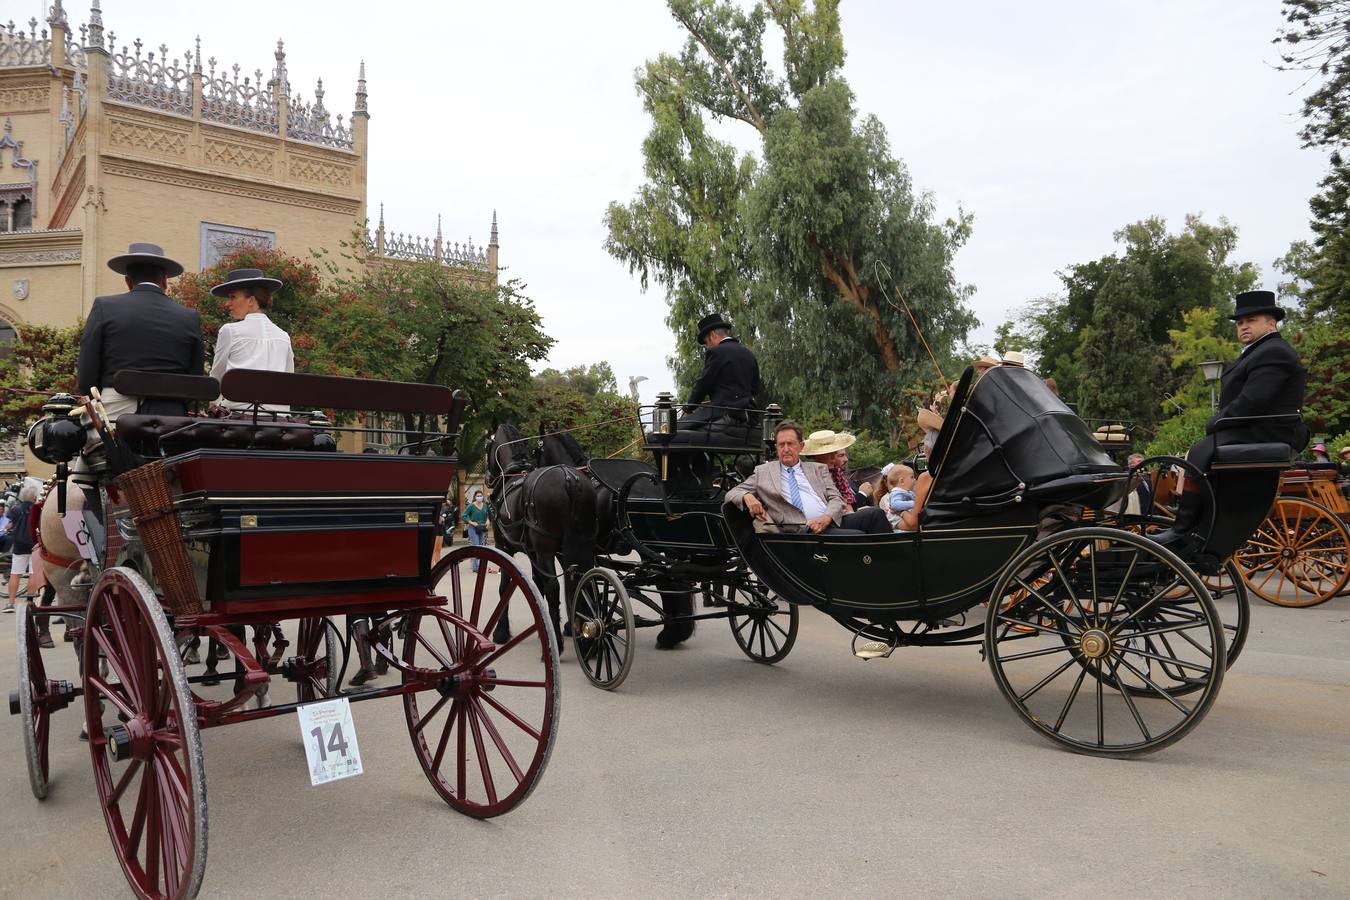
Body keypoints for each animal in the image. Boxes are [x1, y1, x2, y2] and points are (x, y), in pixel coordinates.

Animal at [480, 426, 596, 650]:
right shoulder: (533, 551)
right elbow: (536, 583)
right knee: (581, 581)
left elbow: (505, 587)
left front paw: (501, 632)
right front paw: (544, 623)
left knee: (554, 586)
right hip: (579, 546)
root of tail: (569, 478)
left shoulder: (503, 547)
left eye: (487, 446)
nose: (488, 478)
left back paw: (557, 641)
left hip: (546, 549)